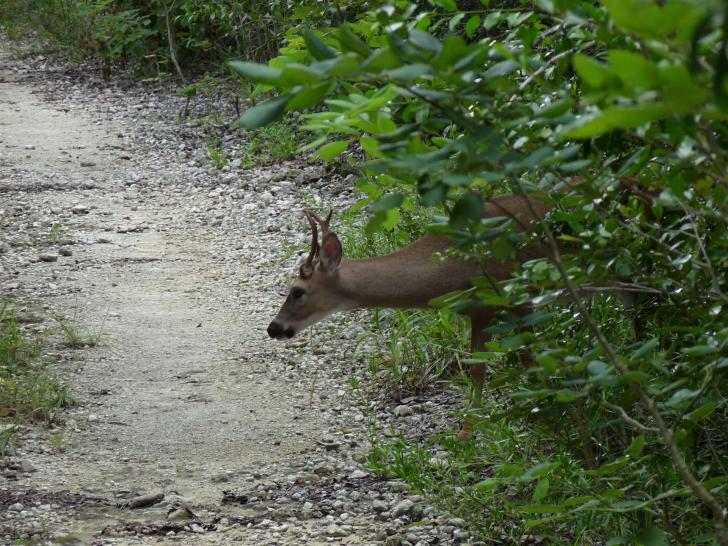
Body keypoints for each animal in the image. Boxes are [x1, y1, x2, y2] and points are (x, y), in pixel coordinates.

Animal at [268, 191, 556, 438]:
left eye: (297, 291)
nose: (273, 328)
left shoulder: (520, 296)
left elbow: (524, 360)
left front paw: (539, 410)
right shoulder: (479, 311)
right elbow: (478, 368)